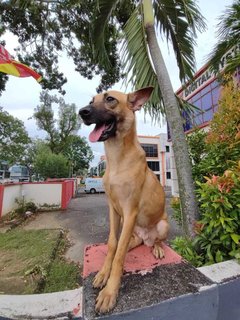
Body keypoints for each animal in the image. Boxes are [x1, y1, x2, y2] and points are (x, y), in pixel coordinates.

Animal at [79, 87, 169, 312]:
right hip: (133, 228)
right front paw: (104, 272)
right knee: (127, 242)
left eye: (110, 99)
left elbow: (119, 255)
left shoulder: (130, 211)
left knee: (156, 241)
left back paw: (156, 247)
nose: (82, 112)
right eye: (91, 101)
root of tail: (146, 238)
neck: (117, 159)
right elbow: (113, 244)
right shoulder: (113, 210)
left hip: (161, 225)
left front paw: (110, 292)